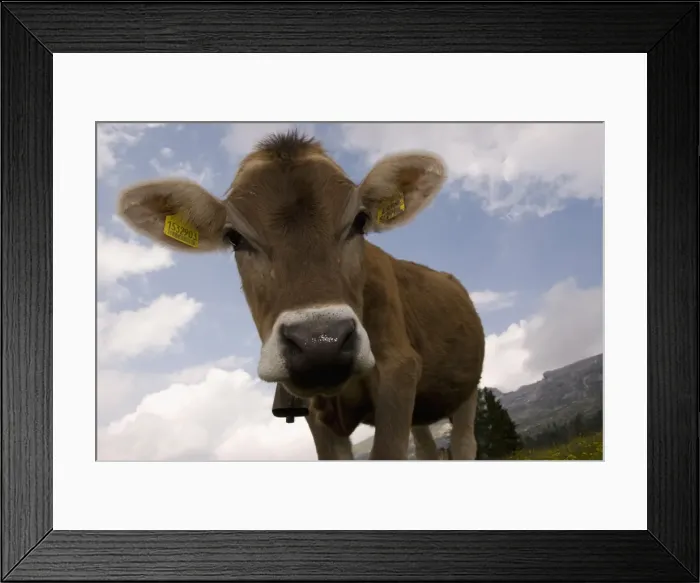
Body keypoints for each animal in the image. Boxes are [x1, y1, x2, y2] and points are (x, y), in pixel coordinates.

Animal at [116, 129, 485, 460]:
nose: (321, 343)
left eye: (360, 221)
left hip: (467, 391)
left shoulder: (399, 373)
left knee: (465, 444)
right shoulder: (314, 408)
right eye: (235, 238)